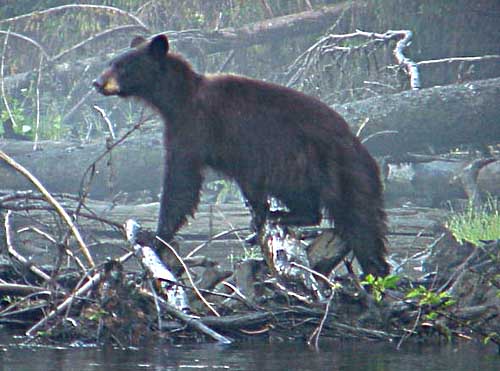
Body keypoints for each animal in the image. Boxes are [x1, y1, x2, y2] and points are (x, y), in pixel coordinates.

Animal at [94, 35, 390, 278]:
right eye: (111, 62)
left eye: (123, 65)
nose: (98, 82)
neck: (180, 99)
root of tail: (363, 152)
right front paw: (257, 219)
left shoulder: (194, 129)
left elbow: (182, 182)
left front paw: (156, 235)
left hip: (329, 169)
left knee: (360, 222)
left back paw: (373, 267)